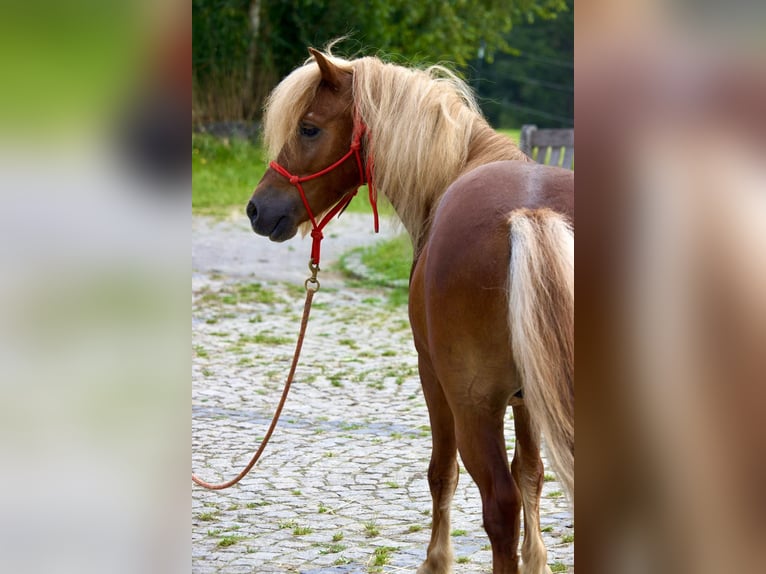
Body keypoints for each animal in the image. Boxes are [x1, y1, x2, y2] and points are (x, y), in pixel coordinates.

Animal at [248, 47, 576, 572]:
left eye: (309, 128)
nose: (257, 209)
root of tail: (530, 214)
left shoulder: (433, 378)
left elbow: (442, 473)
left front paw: (436, 561)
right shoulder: (530, 398)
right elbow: (532, 471)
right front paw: (539, 560)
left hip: (472, 406)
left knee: (498, 505)